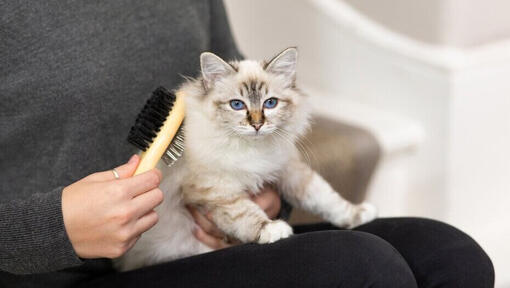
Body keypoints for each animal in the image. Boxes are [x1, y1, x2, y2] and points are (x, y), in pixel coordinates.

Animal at [116, 46, 378, 270]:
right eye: (237, 105)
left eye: (270, 103)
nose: (257, 125)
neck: (252, 149)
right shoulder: (214, 191)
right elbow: (245, 213)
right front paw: (272, 230)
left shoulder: (288, 169)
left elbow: (326, 198)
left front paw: (358, 214)